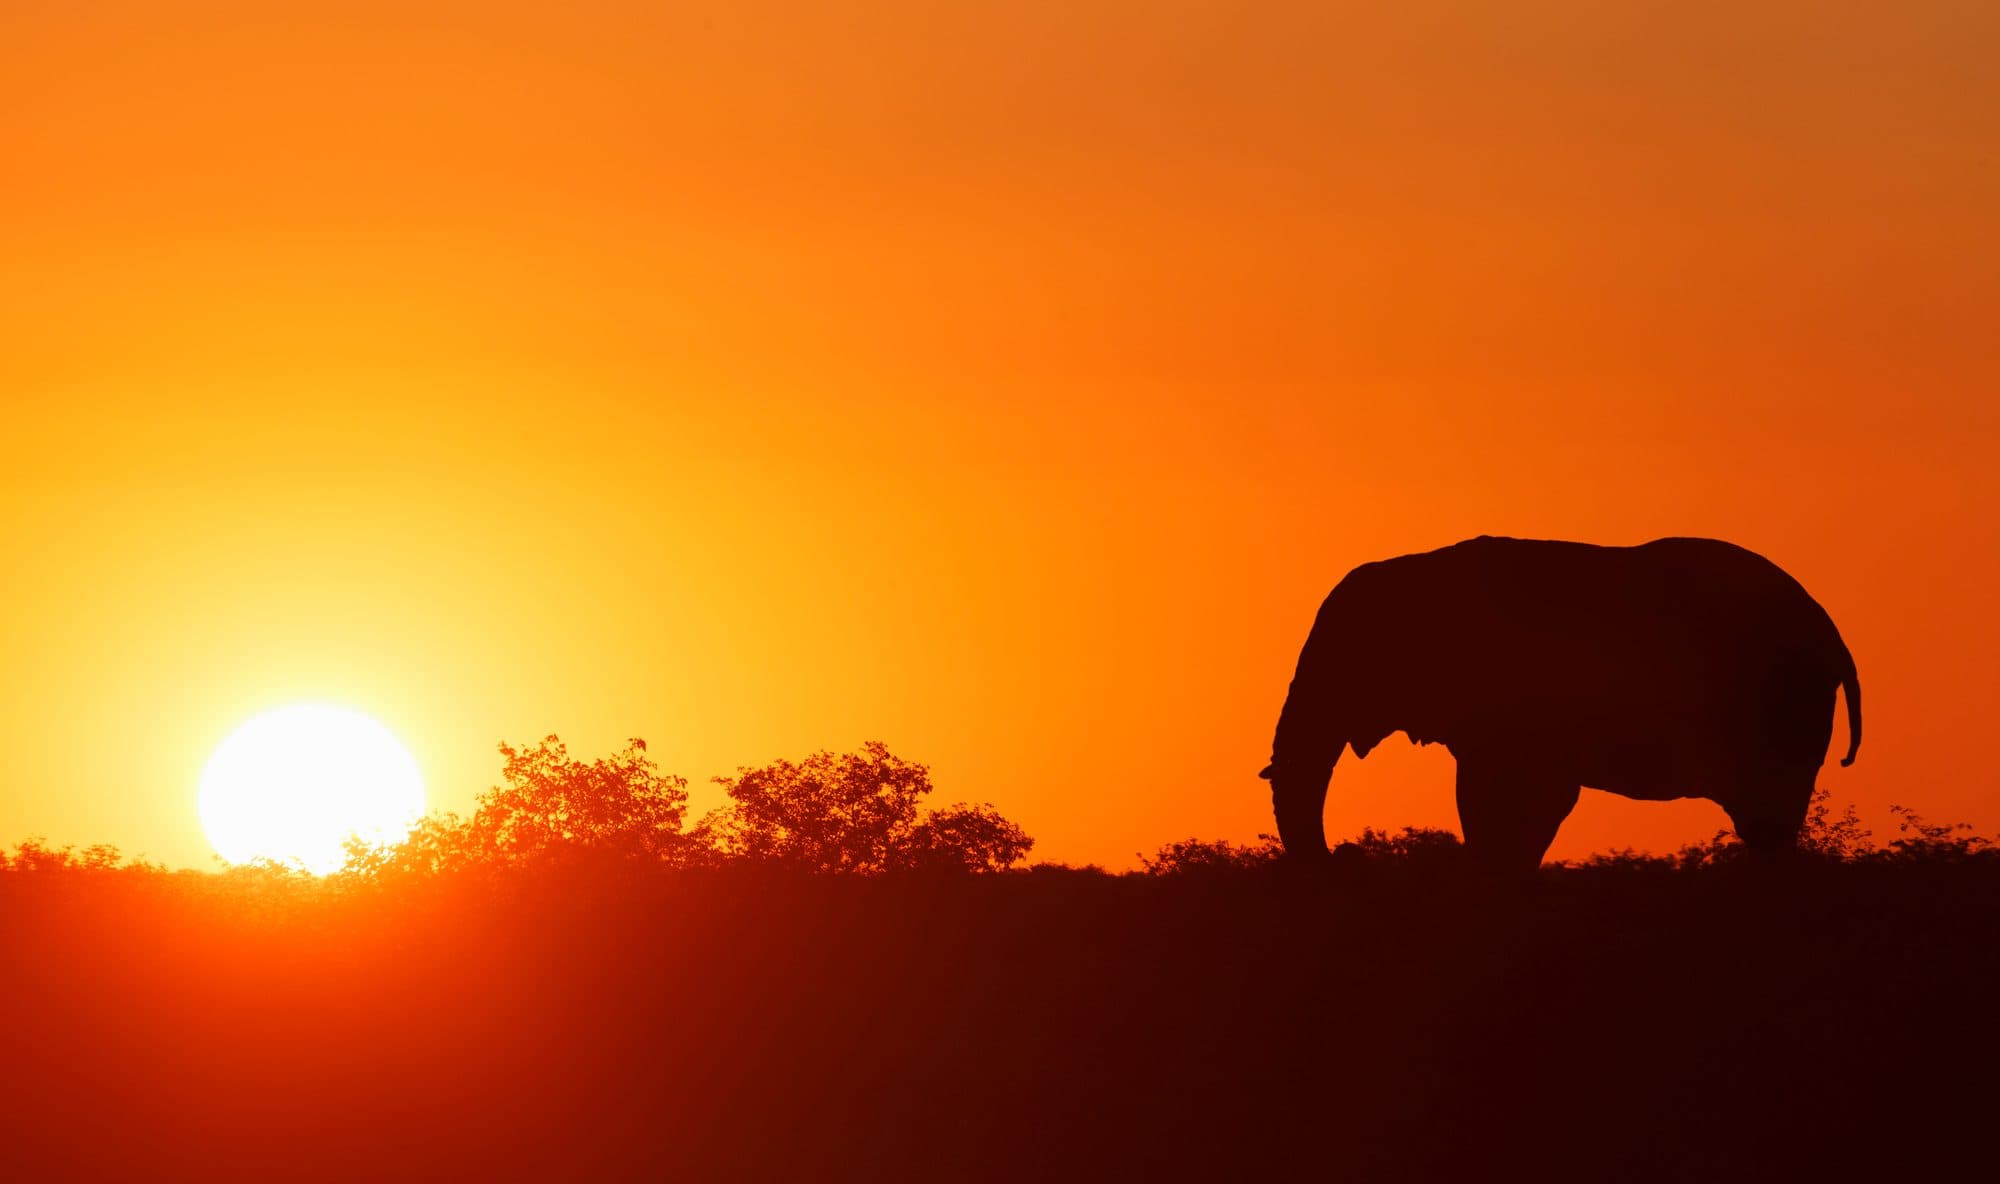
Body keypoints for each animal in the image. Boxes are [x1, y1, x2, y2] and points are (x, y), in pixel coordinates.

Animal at [1261, 536, 1861, 872]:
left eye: (1351, 662)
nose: (1345, 857)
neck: (1419, 570)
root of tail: (1834, 636)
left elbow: (1507, 796)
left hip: (1779, 701)